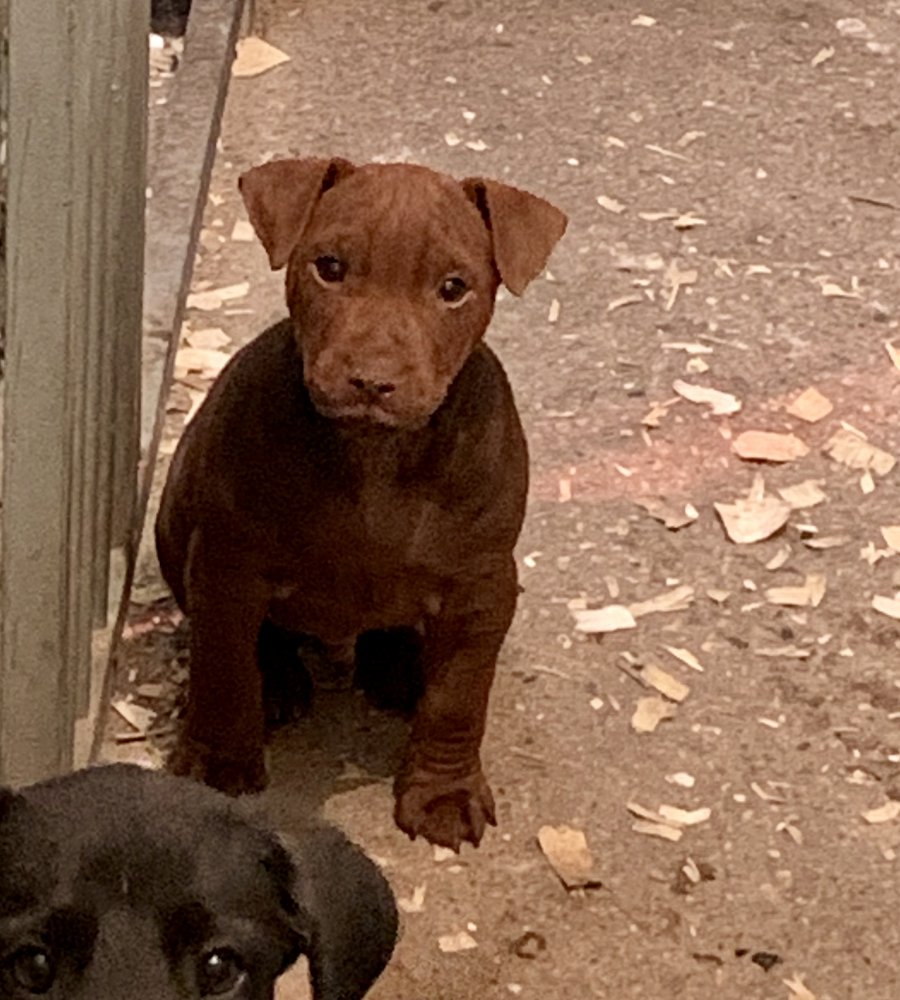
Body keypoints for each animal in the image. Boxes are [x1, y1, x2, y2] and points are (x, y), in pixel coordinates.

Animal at [156, 157, 567, 850]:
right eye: (329, 267)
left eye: (454, 288)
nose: (372, 381)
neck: (376, 455)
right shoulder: (227, 566)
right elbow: (224, 668)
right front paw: (216, 764)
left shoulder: (481, 587)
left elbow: (458, 699)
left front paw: (443, 793)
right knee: (267, 641)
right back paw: (281, 681)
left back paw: (400, 666)